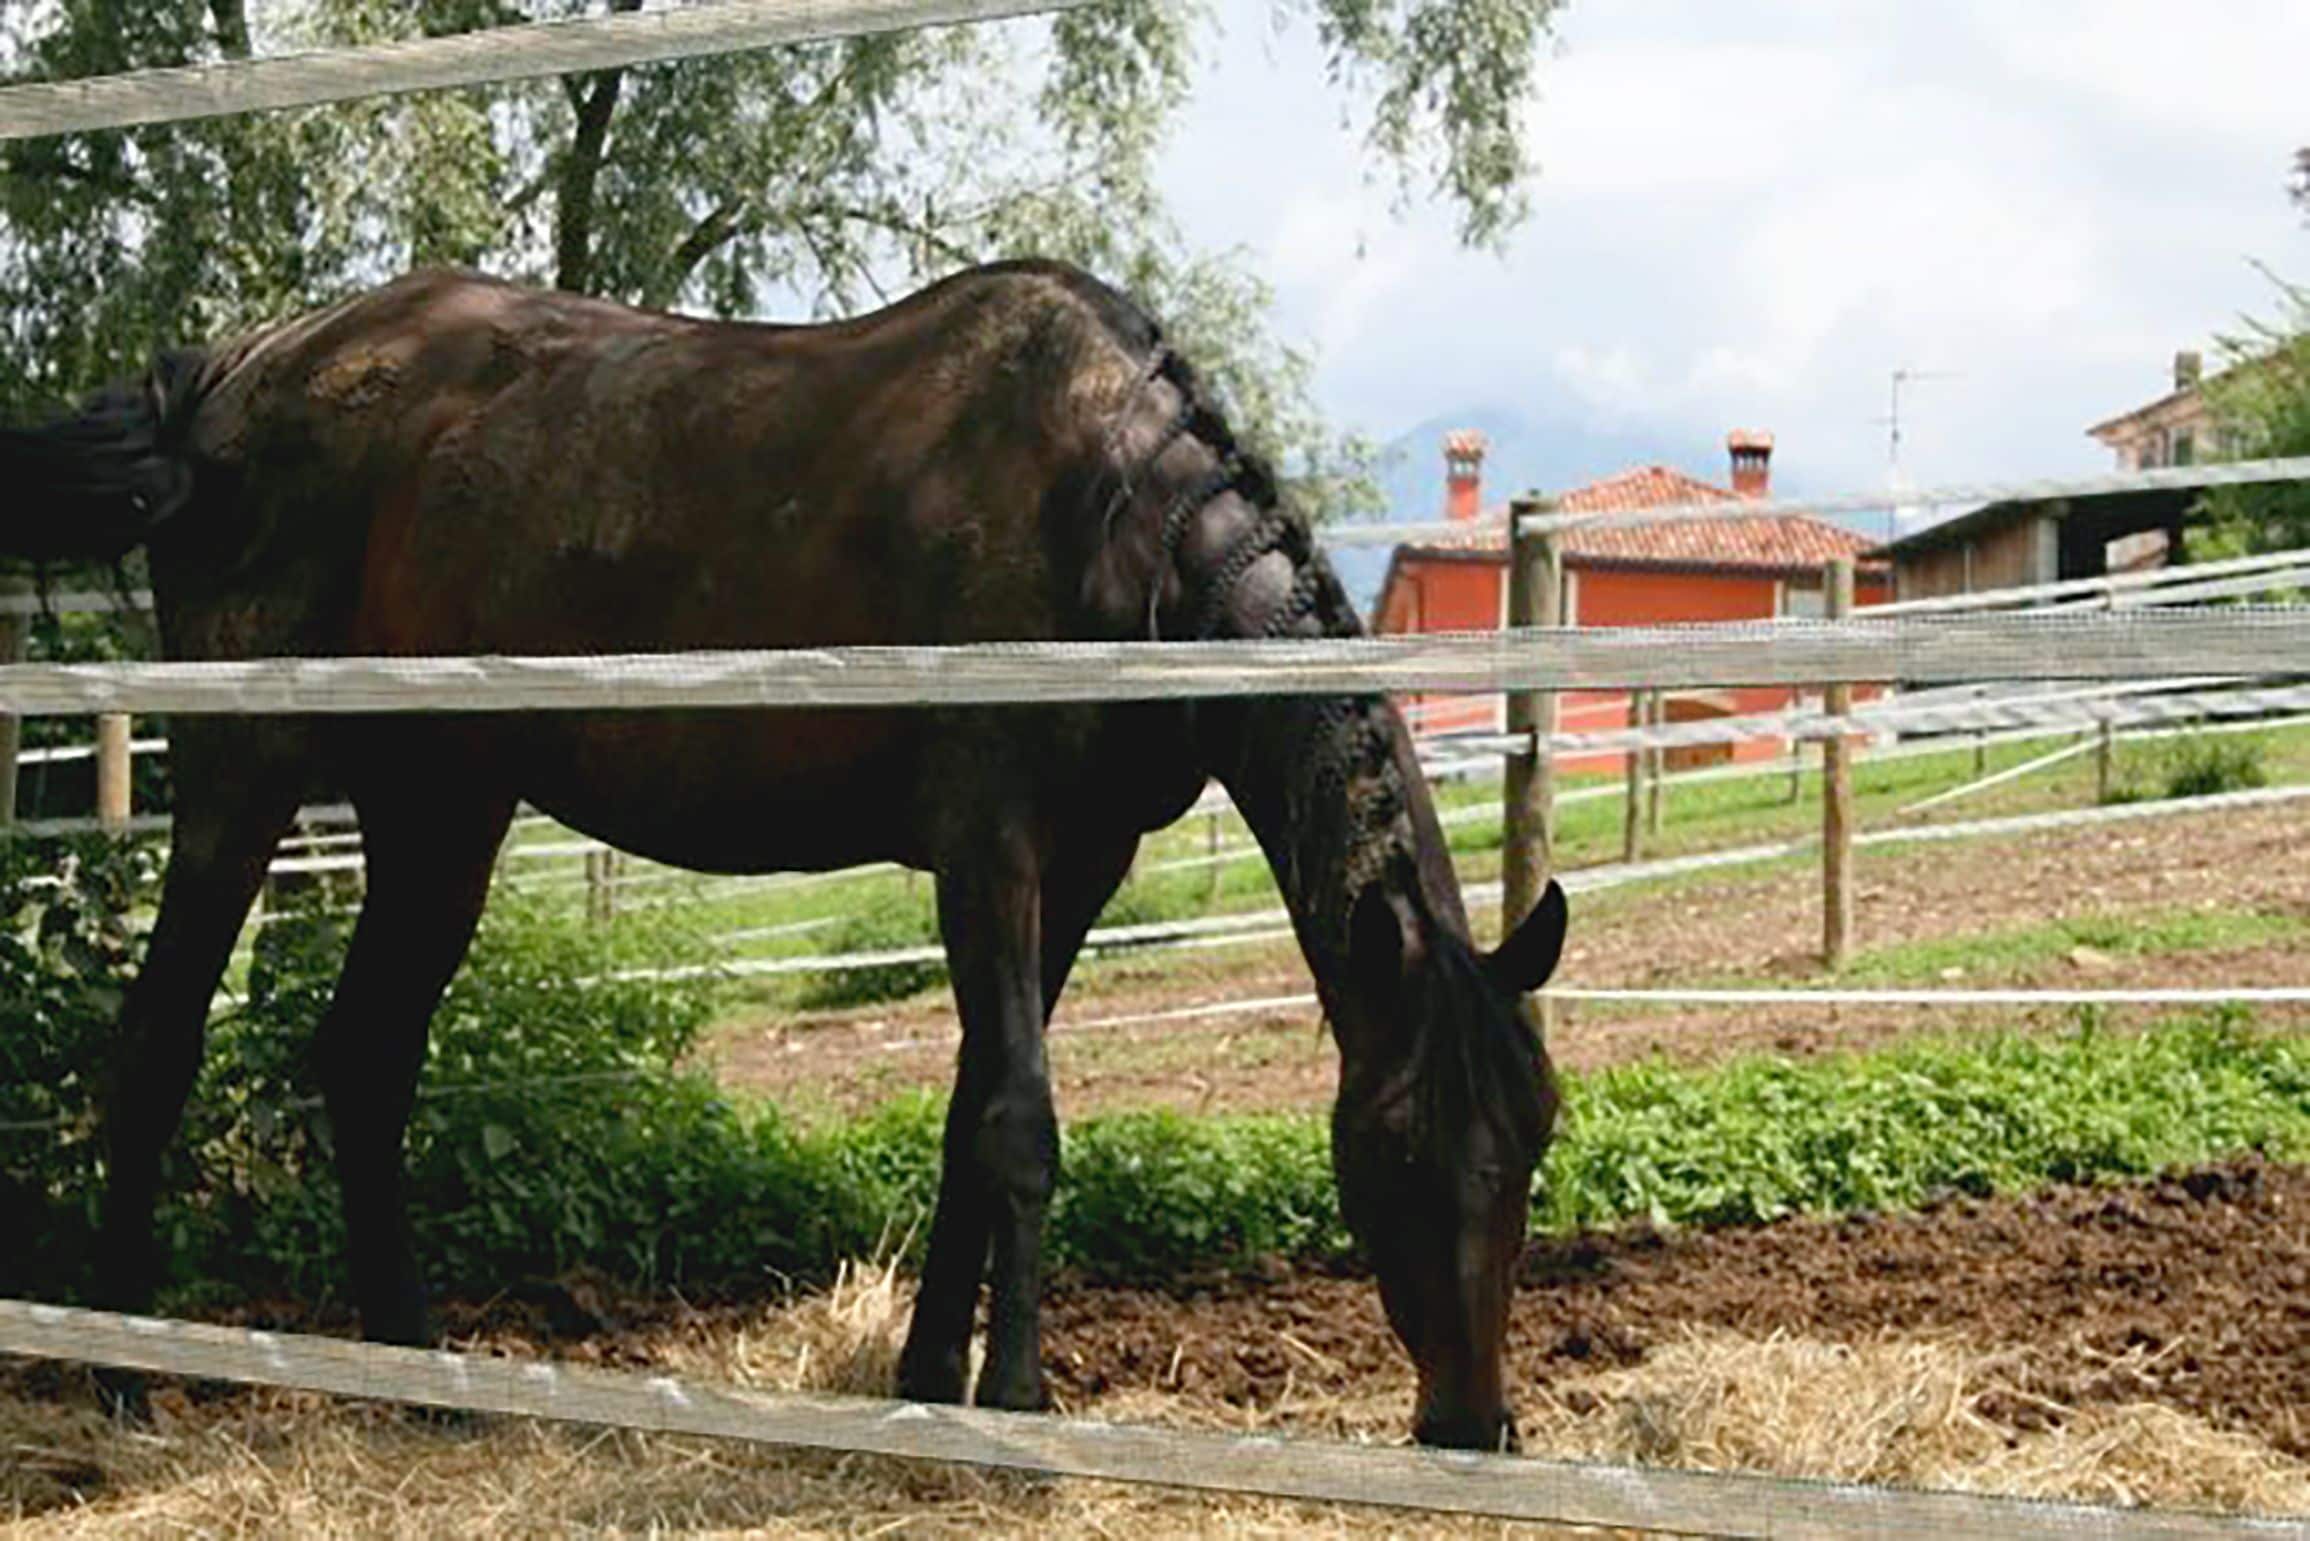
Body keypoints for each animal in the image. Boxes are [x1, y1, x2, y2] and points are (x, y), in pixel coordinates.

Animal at [0, 260, 1567, 1450]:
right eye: (1393, 1142)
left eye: (1535, 1136)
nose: (1469, 1426)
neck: (1113, 521)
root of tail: (220, 381)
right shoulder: (987, 843)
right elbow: (1018, 1121)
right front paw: (1017, 1398)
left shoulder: (1078, 868)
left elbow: (969, 1116)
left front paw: (933, 1382)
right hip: (247, 774)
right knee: (158, 1043)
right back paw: (128, 1380)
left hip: (441, 808)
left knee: (364, 1057)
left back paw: (422, 1374)